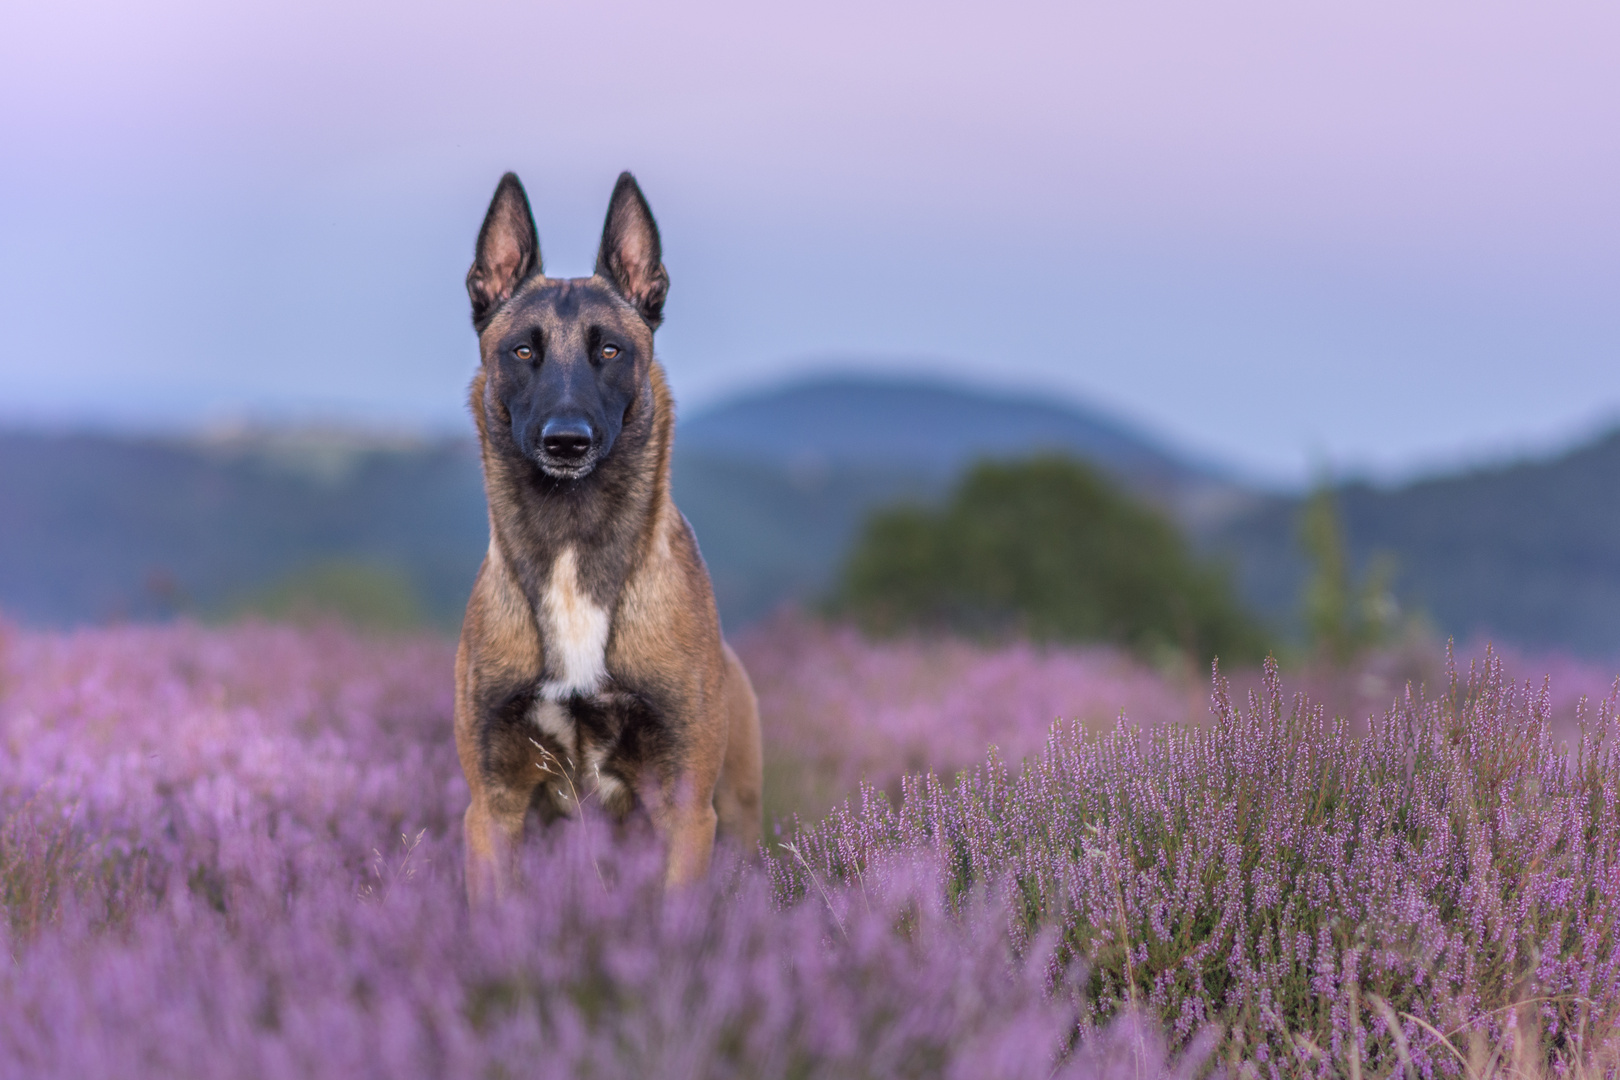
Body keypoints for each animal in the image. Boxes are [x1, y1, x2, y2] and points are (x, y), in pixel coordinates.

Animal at [453, 170, 761, 906]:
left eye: (611, 351)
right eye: (523, 350)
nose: (566, 441)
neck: (572, 545)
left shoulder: (684, 807)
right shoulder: (494, 805)